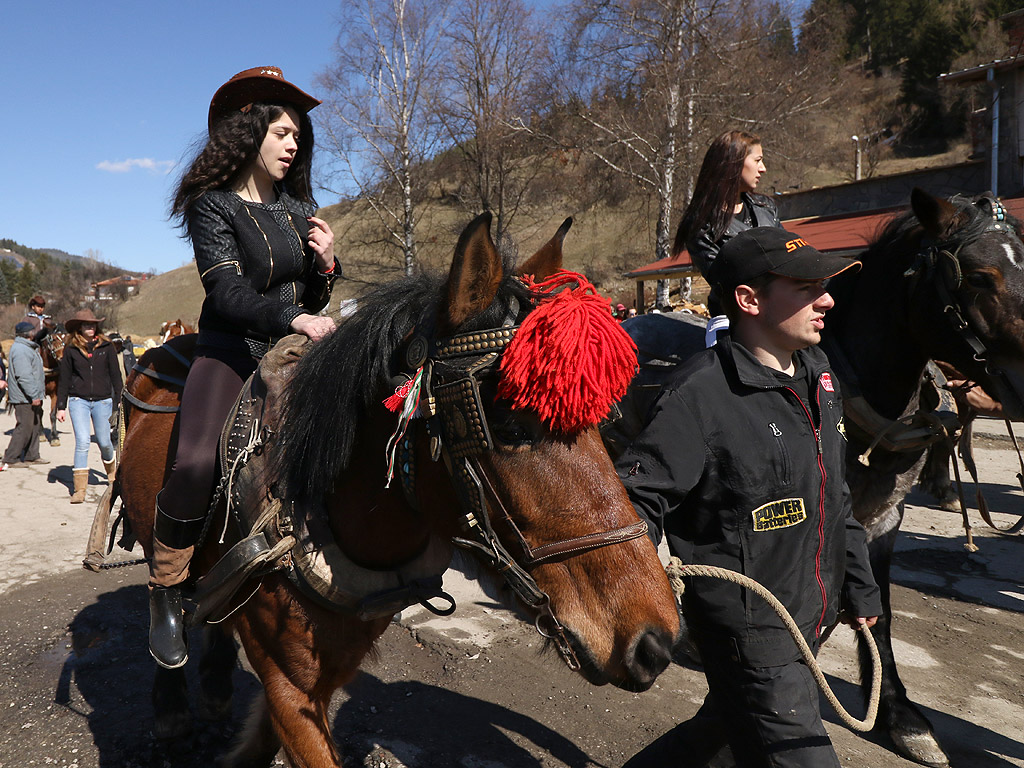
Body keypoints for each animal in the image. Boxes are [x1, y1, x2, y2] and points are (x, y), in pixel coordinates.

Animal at [114, 214, 679, 765]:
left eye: (604, 422)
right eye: (509, 424)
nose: (655, 641)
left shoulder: (322, 676)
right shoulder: (288, 687)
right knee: (169, 586)